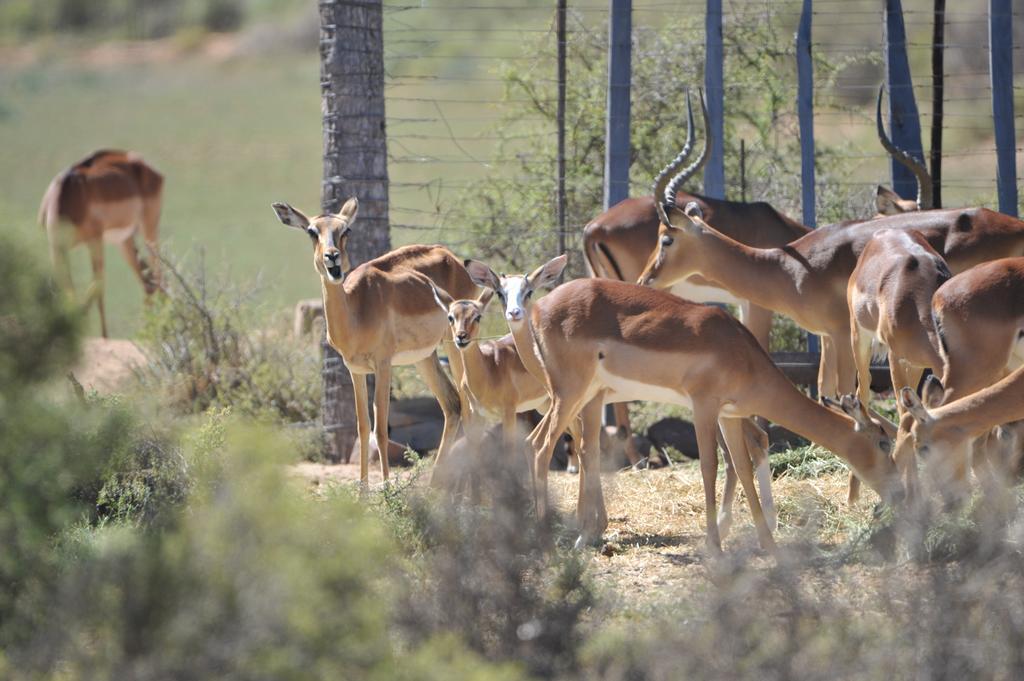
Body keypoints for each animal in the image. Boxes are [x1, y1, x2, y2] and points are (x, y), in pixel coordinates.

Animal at [38, 150, 162, 337]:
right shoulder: (56, 248)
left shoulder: (95, 240)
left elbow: (99, 285)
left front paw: (104, 337)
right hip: (124, 240)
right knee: (148, 281)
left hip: (149, 231)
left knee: (159, 275)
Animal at [272, 197, 479, 489]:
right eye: (312, 231)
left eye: (345, 230)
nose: (332, 257)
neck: (356, 310)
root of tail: (452, 258)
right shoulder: (355, 370)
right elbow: (362, 426)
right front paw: (363, 491)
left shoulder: (383, 365)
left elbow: (380, 428)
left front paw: (387, 488)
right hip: (424, 357)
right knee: (452, 404)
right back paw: (434, 486)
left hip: (455, 345)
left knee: (469, 405)